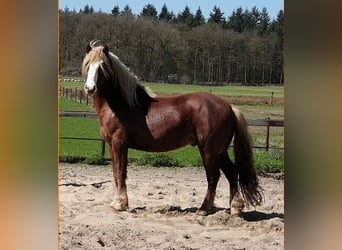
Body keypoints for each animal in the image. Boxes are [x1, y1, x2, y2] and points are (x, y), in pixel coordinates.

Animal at [82, 41, 262, 215]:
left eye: (103, 67)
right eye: (88, 65)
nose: (90, 88)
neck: (122, 105)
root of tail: (229, 107)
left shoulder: (120, 144)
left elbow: (121, 172)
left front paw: (120, 204)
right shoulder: (112, 146)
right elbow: (115, 173)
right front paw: (116, 202)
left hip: (209, 150)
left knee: (214, 176)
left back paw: (204, 209)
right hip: (220, 150)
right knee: (232, 173)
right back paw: (234, 208)